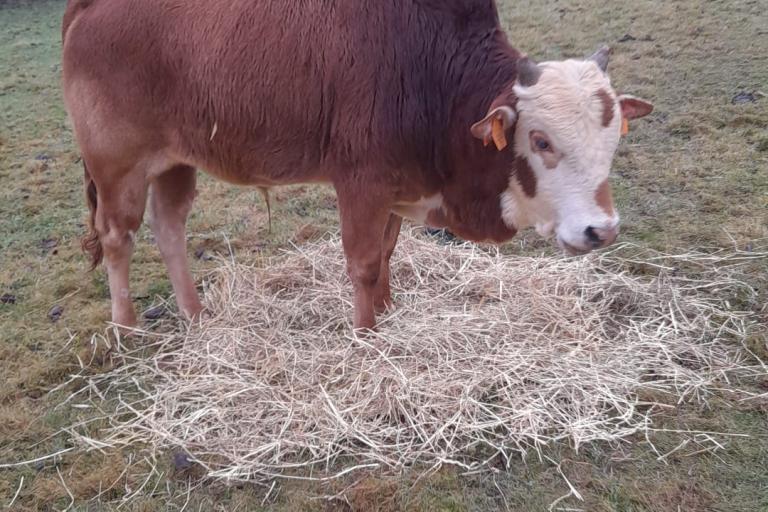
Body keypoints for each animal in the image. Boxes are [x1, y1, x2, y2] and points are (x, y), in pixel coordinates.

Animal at [60, 0, 652, 328]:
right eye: (541, 140)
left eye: (611, 139)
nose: (601, 230)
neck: (433, 72)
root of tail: (90, 7)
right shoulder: (361, 184)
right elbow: (365, 263)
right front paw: (367, 335)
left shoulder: (395, 186)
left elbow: (387, 253)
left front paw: (387, 312)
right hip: (119, 167)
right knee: (117, 238)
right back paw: (127, 326)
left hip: (175, 163)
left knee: (170, 229)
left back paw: (195, 315)